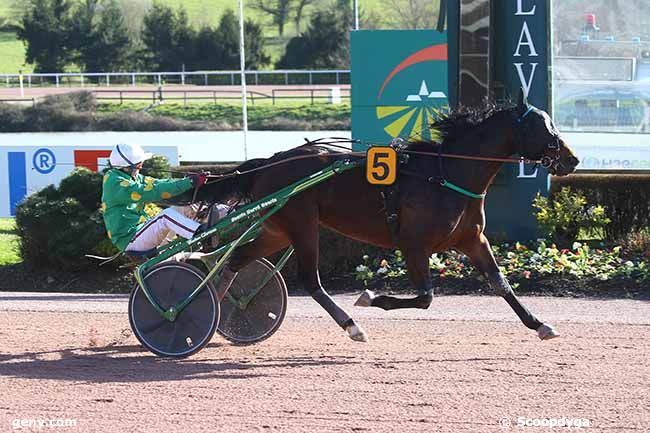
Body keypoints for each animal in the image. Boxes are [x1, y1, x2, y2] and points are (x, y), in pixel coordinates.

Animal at [190, 93, 576, 340]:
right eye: (545, 128)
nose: (572, 160)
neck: (447, 175)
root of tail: (270, 161)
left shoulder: (472, 239)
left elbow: (500, 283)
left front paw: (539, 324)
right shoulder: (413, 243)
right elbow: (425, 297)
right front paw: (370, 298)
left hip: (278, 229)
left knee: (236, 259)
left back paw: (206, 309)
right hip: (302, 226)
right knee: (310, 280)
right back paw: (351, 326)